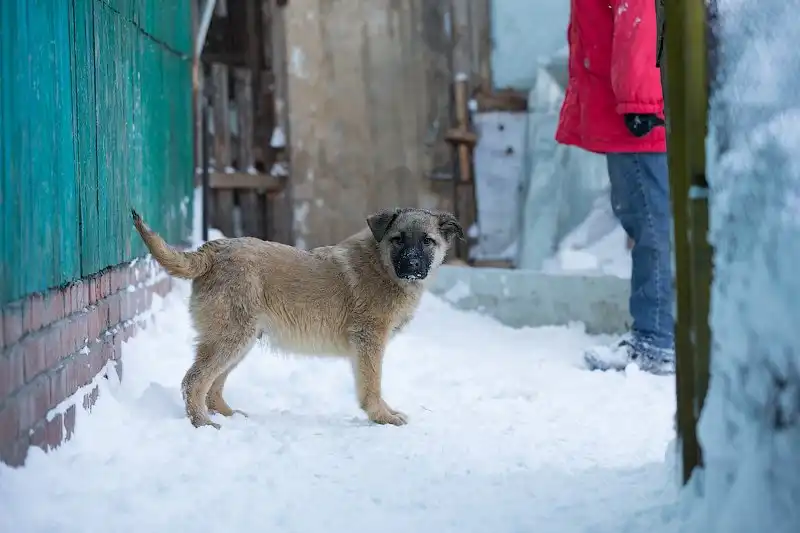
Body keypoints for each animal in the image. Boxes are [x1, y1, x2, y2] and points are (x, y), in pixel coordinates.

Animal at [131, 207, 463, 429]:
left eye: (427, 241)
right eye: (398, 239)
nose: (413, 264)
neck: (383, 266)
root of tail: (213, 250)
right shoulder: (370, 342)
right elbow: (372, 385)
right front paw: (382, 416)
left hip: (238, 340)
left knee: (213, 386)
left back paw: (228, 415)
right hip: (231, 338)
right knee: (194, 381)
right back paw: (202, 423)